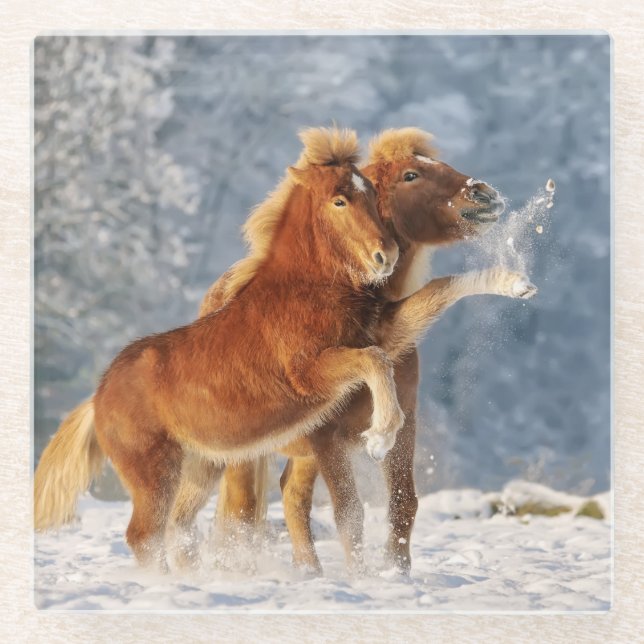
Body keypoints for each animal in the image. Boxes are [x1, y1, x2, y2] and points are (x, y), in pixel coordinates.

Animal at [34, 127, 407, 570]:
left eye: (370, 192)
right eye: (339, 200)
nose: (387, 255)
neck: (302, 292)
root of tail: (95, 400)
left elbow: (384, 353)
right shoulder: (310, 374)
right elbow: (374, 360)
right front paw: (381, 436)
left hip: (200, 466)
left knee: (176, 528)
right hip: (155, 473)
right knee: (144, 535)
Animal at [187, 128, 537, 574]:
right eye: (411, 174)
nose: (484, 193)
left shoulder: (405, 424)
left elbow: (404, 504)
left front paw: (397, 574)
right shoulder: (327, 436)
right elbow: (348, 513)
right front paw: (362, 579)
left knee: (290, 496)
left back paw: (310, 573)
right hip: (243, 454)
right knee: (239, 511)